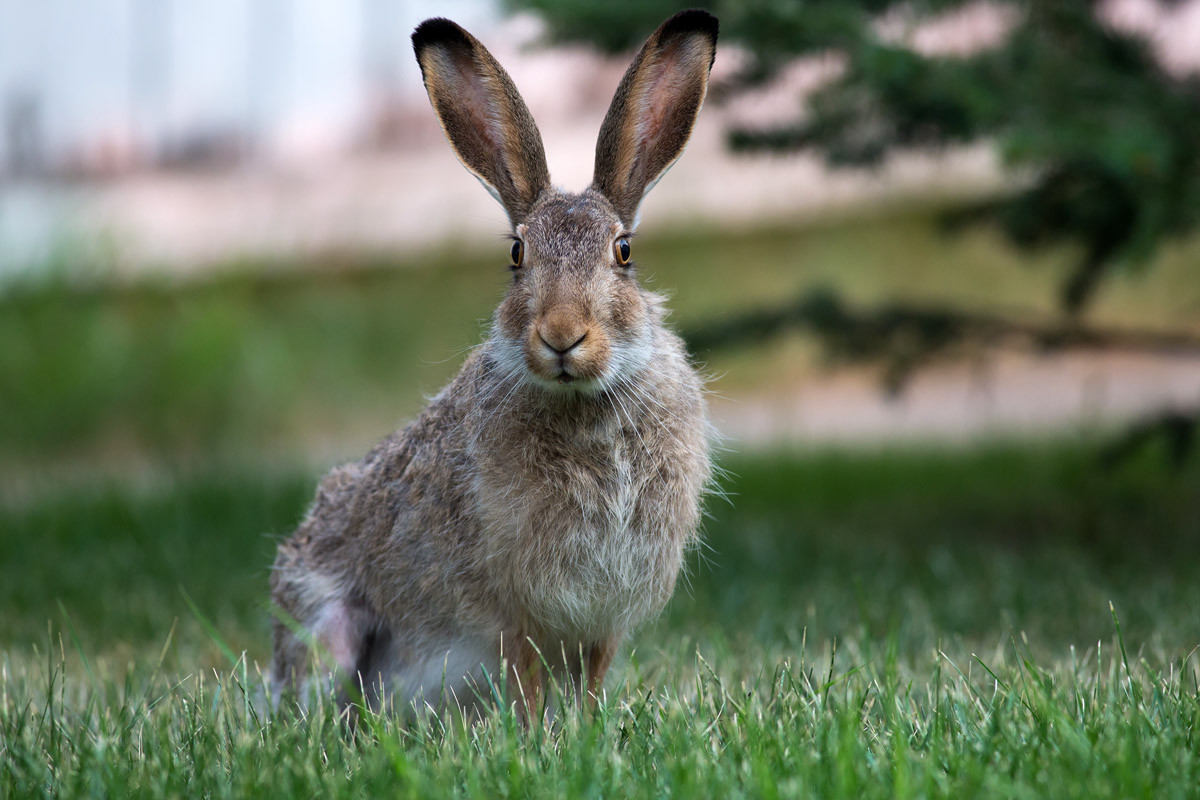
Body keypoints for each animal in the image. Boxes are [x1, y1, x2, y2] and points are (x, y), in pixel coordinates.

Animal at [271, 7, 715, 719]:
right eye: (516, 254)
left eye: (623, 251)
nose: (561, 334)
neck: (586, 400)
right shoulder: (514, 610)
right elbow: (525, 676)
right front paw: (537, 733)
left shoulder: (604, 619)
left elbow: (591, 677)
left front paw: (585, 727)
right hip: (328, 631)